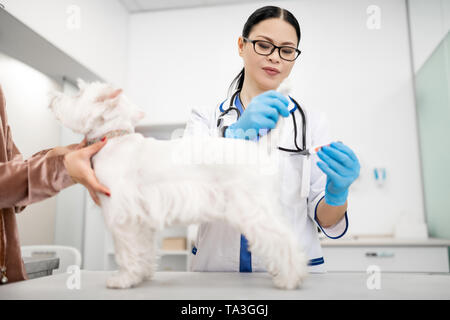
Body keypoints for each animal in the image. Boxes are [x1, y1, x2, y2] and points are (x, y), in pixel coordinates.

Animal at [49, 80, 310, 290]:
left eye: (77, 94)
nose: (52, 98)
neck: (115, 138)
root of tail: (257, 148)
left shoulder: (121, 214)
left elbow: (126, 250)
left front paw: (123, 280)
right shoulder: (141, 218)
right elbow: (143, 249)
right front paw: (142, 275)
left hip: (254, 208)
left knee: (284, 239)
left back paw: (290, 278)